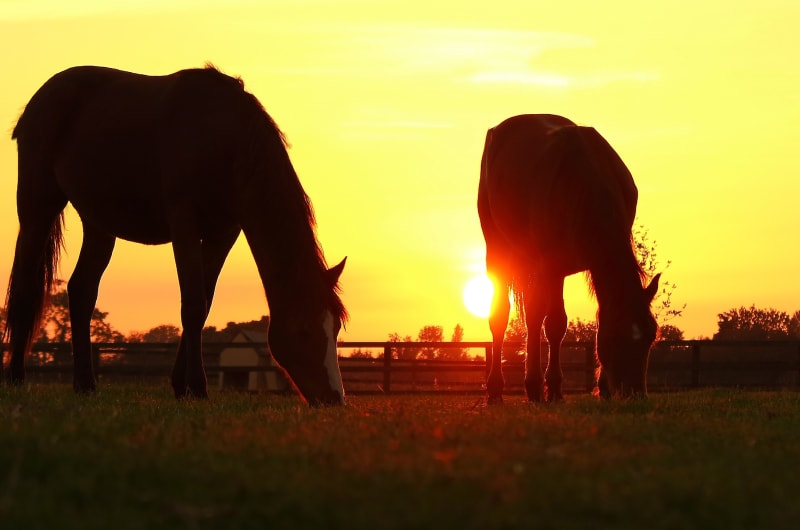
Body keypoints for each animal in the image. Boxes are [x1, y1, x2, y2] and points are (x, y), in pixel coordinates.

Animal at [4, 65, 348, 405]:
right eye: (304, 331)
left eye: (336, 328)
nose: (335, 399)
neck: (224, 139)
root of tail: (39, 100)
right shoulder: (185, 226)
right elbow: (192, 303)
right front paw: (197, 387)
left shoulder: (223, 234)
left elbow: (204, 304)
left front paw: (181, 386)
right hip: (37, 208)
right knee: (26, 285)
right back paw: (16, 378)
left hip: (99, 224)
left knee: (81, 291)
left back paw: (85, 384)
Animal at [478, 114, 660, 403]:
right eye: (618, 335)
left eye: (652, 335)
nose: (635, 394)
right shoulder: (549, 266)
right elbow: (545, 321)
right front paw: (542, 388)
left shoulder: (566, 268)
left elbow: (561, 323)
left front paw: (577, 388)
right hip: (498, 252)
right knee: (501, 316)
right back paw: (497, 390)